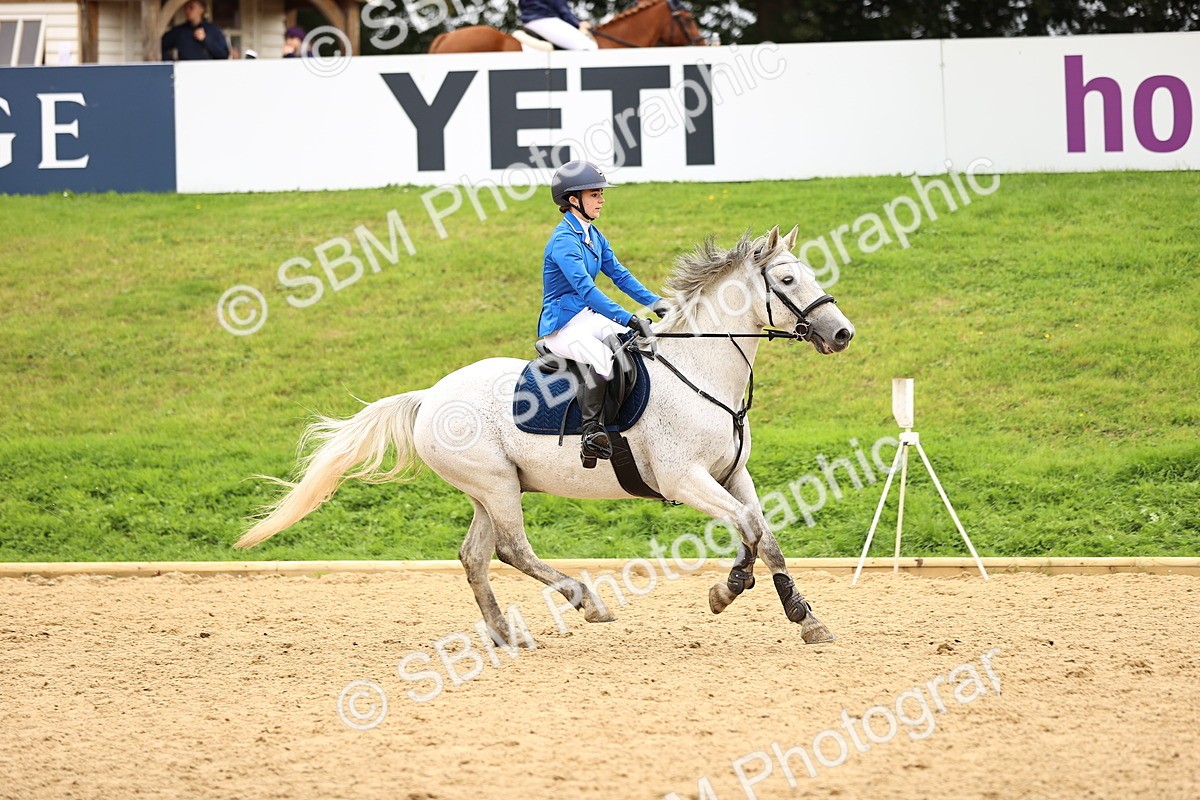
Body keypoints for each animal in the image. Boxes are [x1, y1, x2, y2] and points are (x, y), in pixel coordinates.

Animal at [236, 225, 855, 645]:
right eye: (788, 279)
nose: (842, 334)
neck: (700, 369)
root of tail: (428, 397)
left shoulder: (733, 474)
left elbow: (763, 535)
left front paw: (801, 616)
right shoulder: (685, 479)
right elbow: (748, 528)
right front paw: (730, 591)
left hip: (491, 489)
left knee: (475, 557)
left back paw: (507, 634)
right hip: (496, 486)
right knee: (512, 549)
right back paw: (587, 603)